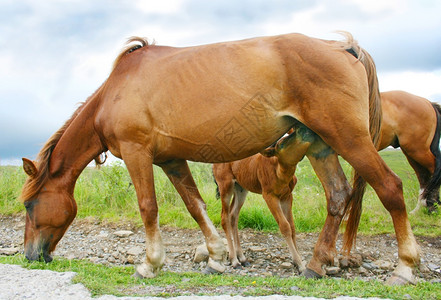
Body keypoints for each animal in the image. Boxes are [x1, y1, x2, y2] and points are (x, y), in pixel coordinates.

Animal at [20, 31, 420, 284]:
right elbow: (196, 206)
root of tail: (344, 48)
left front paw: (150, 264)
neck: (116, 91)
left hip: (348, 138)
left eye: (28, 206)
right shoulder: (170, 160)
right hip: (322, 144)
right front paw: (215, 256)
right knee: (338, 196)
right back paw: (315, 265)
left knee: (390, 188)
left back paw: (404, 267)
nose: (30, 255)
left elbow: (148, 207)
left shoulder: (138, 153)